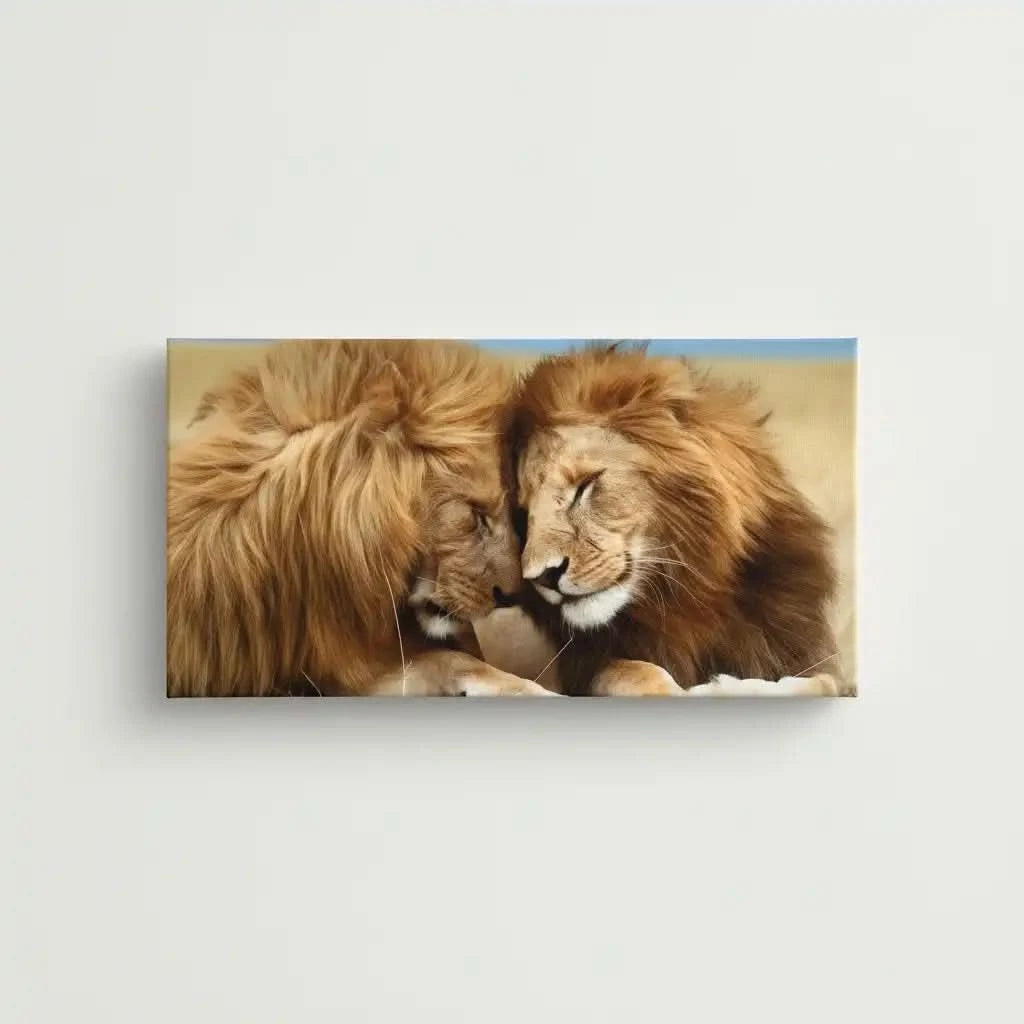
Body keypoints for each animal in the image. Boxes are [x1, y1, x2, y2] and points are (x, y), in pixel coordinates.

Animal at [511, 344, 846, 697]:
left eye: (585, 485)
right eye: (523, 515)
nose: (542, 577)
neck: (692, 598)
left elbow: (823, 680)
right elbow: (635, 672)